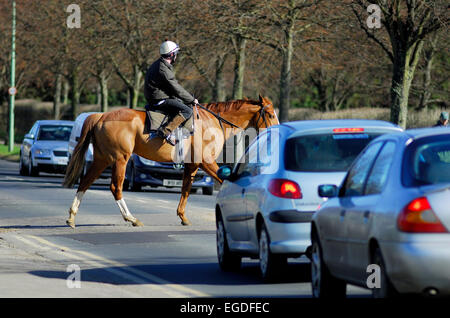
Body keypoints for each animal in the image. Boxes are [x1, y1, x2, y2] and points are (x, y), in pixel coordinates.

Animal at [61, 93, 280, 227]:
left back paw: (72, 216)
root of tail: (100, 116)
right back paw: (131, 218)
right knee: (116, 188)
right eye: (270, 114)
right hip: (120, 159)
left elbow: (185, 189)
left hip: (102, 159)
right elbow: (221, 181)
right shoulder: (207, 162)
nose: (277, 131)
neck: (212, 122)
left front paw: (183, 216)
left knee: (85, 182)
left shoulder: (193, 165)